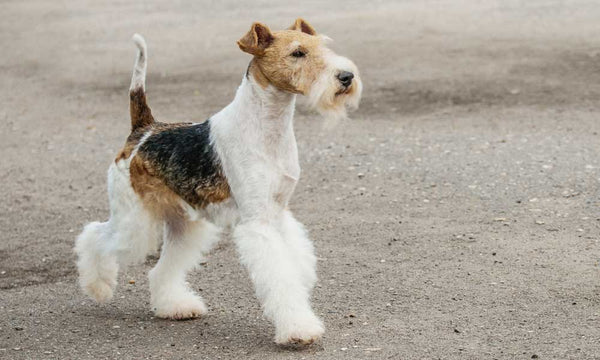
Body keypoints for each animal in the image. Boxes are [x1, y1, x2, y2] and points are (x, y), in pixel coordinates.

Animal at [77, 18, 364, 344]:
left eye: (324, 47)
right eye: (298, 53)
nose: (346, 77)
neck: (268, 128)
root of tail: (144, 130)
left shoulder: (279, 212)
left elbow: (295, 262)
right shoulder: (258, 221)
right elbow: (280, 276)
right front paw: (298, 329)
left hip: (184, 224)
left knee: (161, 269)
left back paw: (175, 306)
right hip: (134, 221)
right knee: (94, 235)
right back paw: (98, 287)